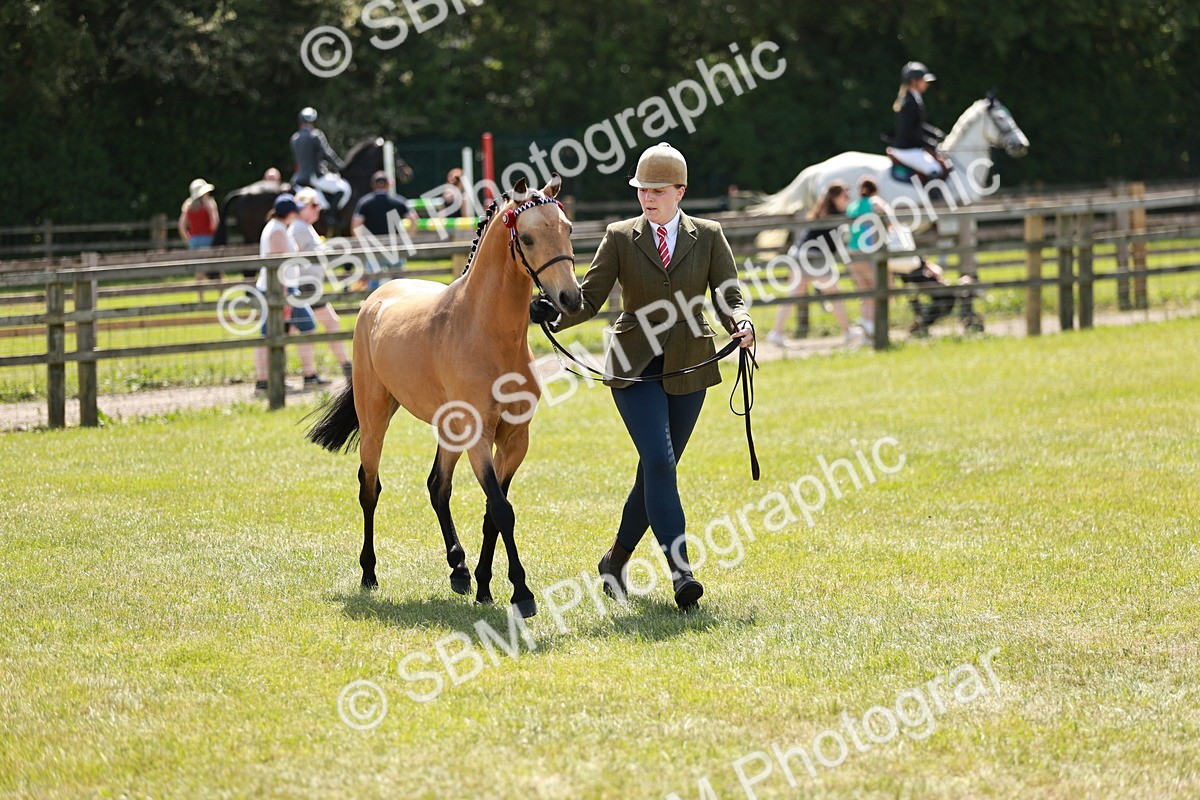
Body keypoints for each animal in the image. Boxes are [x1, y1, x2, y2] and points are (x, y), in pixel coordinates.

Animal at [305, 175, 583, 618]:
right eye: (527, 237)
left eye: (568, 229)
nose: (569, 299)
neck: (485, 331)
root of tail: (376, 299)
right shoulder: (479, 438)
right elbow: (502, 510)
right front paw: (521, 592)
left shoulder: (515, 440)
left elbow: (491, 512)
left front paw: (485, 586)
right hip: (375, 419)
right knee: (369, 487)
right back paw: (369, 573)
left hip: (449, 429)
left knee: (437, 485)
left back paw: (459, 568)